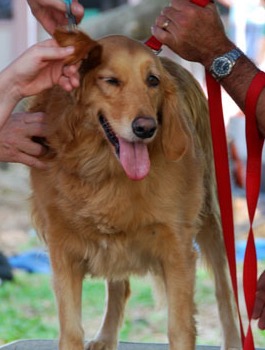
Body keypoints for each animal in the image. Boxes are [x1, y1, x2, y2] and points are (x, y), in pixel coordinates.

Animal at [28, 30, 241, 350]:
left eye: (152, 80)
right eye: (111, 80)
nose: (146, 128)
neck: (106, 170)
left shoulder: (177, 247)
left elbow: (180, 328)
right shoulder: (62, 249)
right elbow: (71, 331)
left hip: (210, 217)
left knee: (223, 288)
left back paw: (233, 340)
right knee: (120, 284)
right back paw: (106, 336)